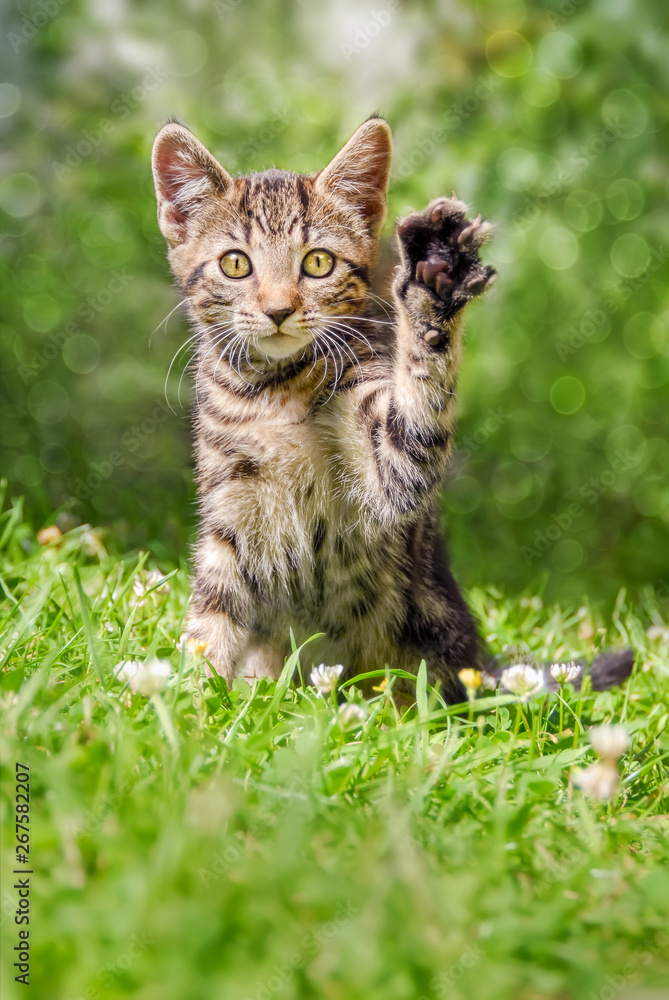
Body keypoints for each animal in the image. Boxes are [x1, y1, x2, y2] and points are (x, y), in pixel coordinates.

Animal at [153, 119, 496, 704]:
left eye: (317, 263)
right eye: (235, 264)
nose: (278, 310)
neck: (273, 390)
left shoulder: (391, 472)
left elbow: (416, 416)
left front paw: (434, 282)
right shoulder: (228, 511)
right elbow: (210, 615)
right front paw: (191, 703)